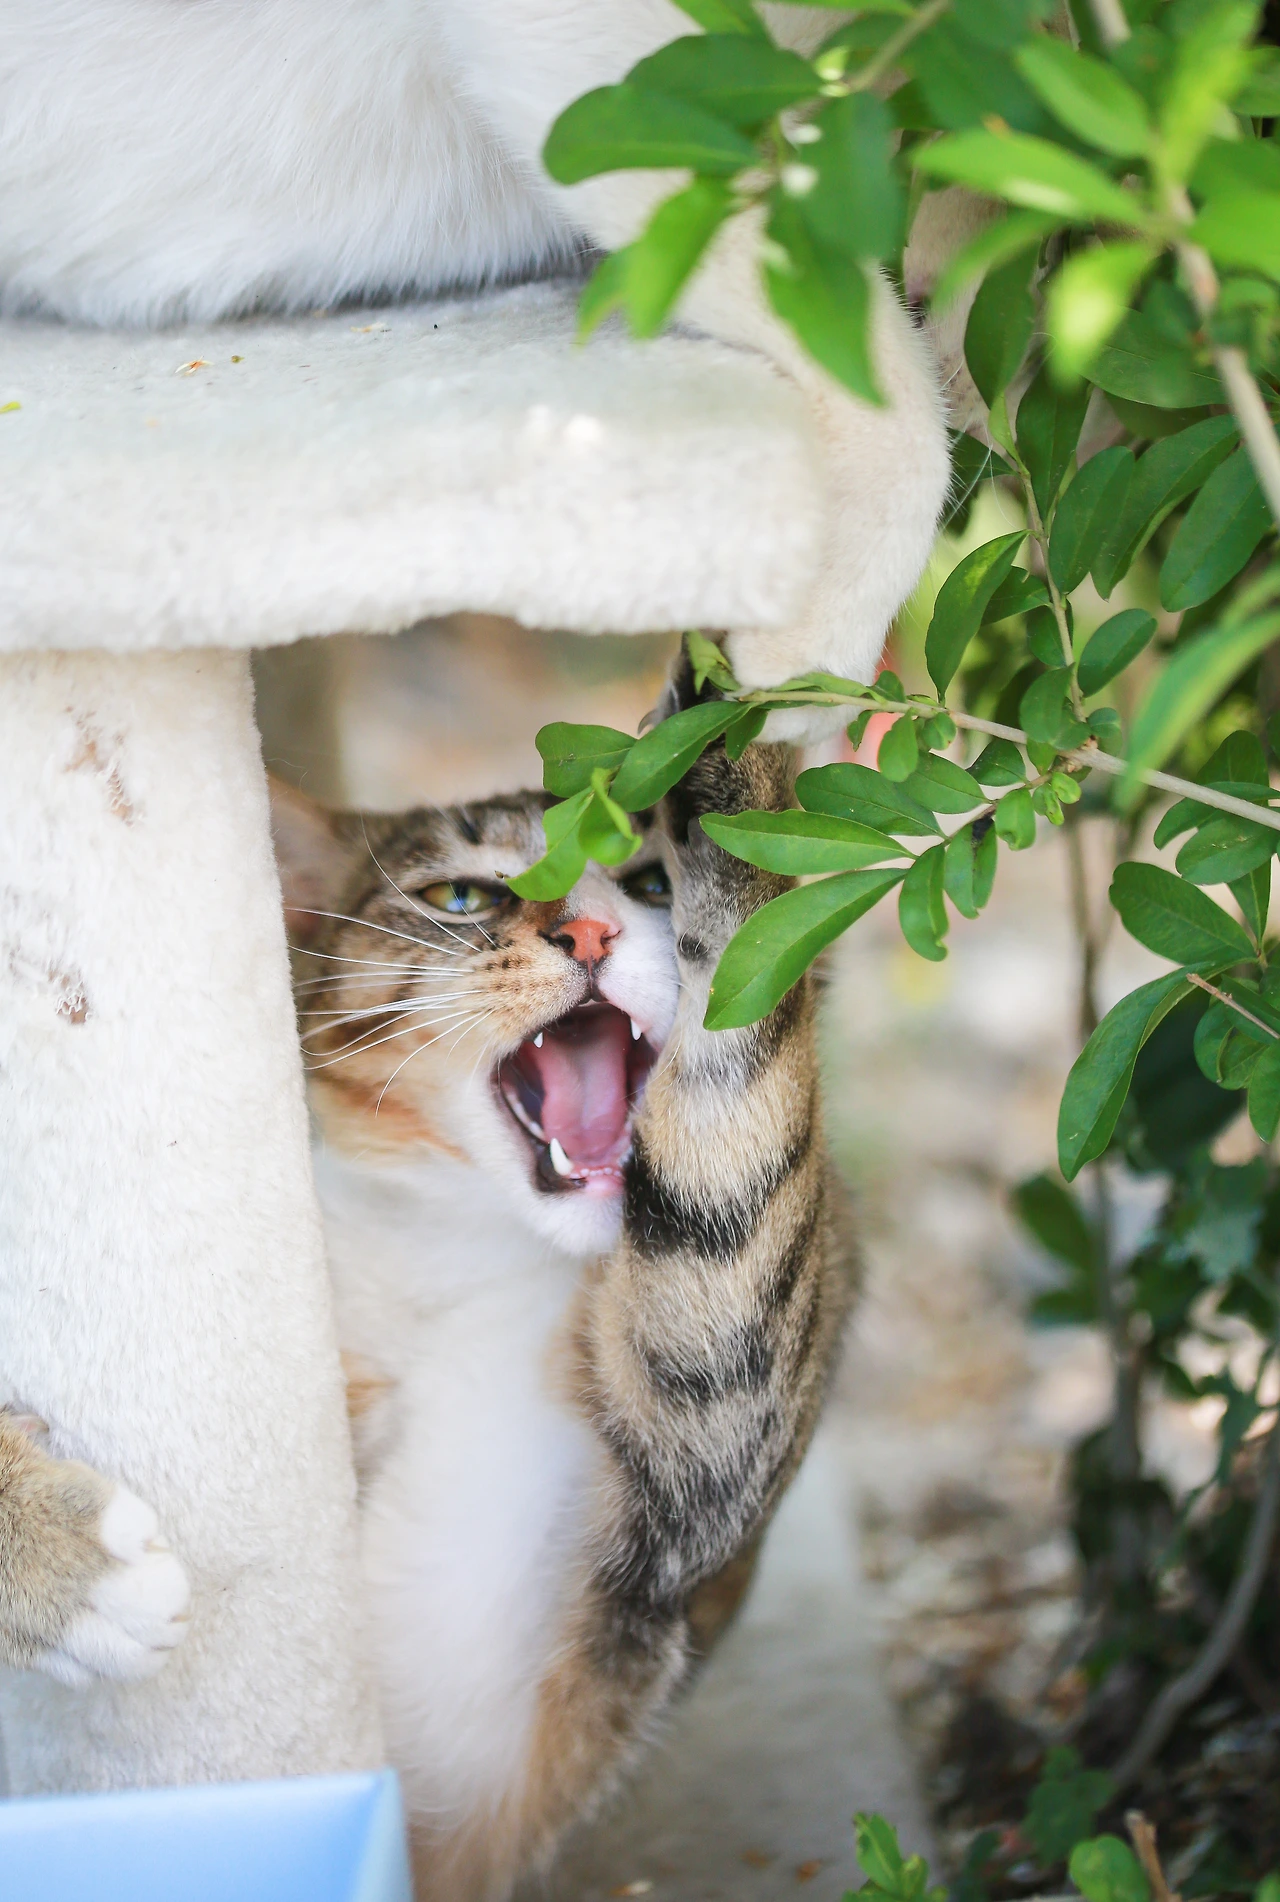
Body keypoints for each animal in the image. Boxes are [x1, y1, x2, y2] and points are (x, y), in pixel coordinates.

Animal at [265, 660, 855, 1900]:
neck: (470, 1256)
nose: (587, 929)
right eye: (460, 898)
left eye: (650, 880)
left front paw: (725, 749)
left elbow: (729, 1183)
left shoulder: (691, 1487)